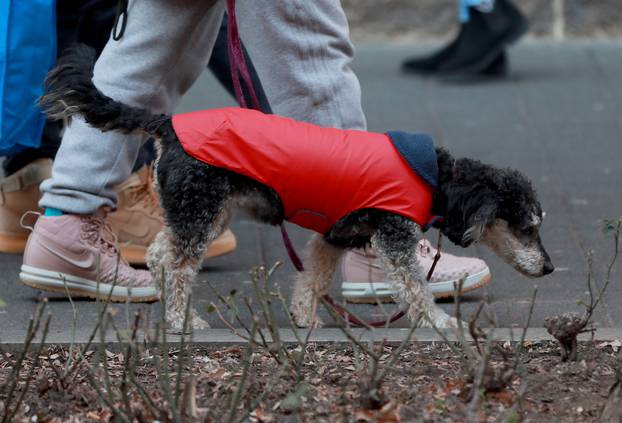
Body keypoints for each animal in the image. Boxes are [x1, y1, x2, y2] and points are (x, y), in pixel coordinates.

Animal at [39, 45, 556, 332]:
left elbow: (313, 280)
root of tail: (167, 124)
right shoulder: (393, 239)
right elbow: (413, 287)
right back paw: (180, 322)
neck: (435, 176)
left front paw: (304, 319)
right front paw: (440, 322)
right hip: (200, 213)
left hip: (203, 213)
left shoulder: (333, 237)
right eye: (528, 228)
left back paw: (176, 314)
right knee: (180, 267)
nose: (550, 267)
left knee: (161, 254)